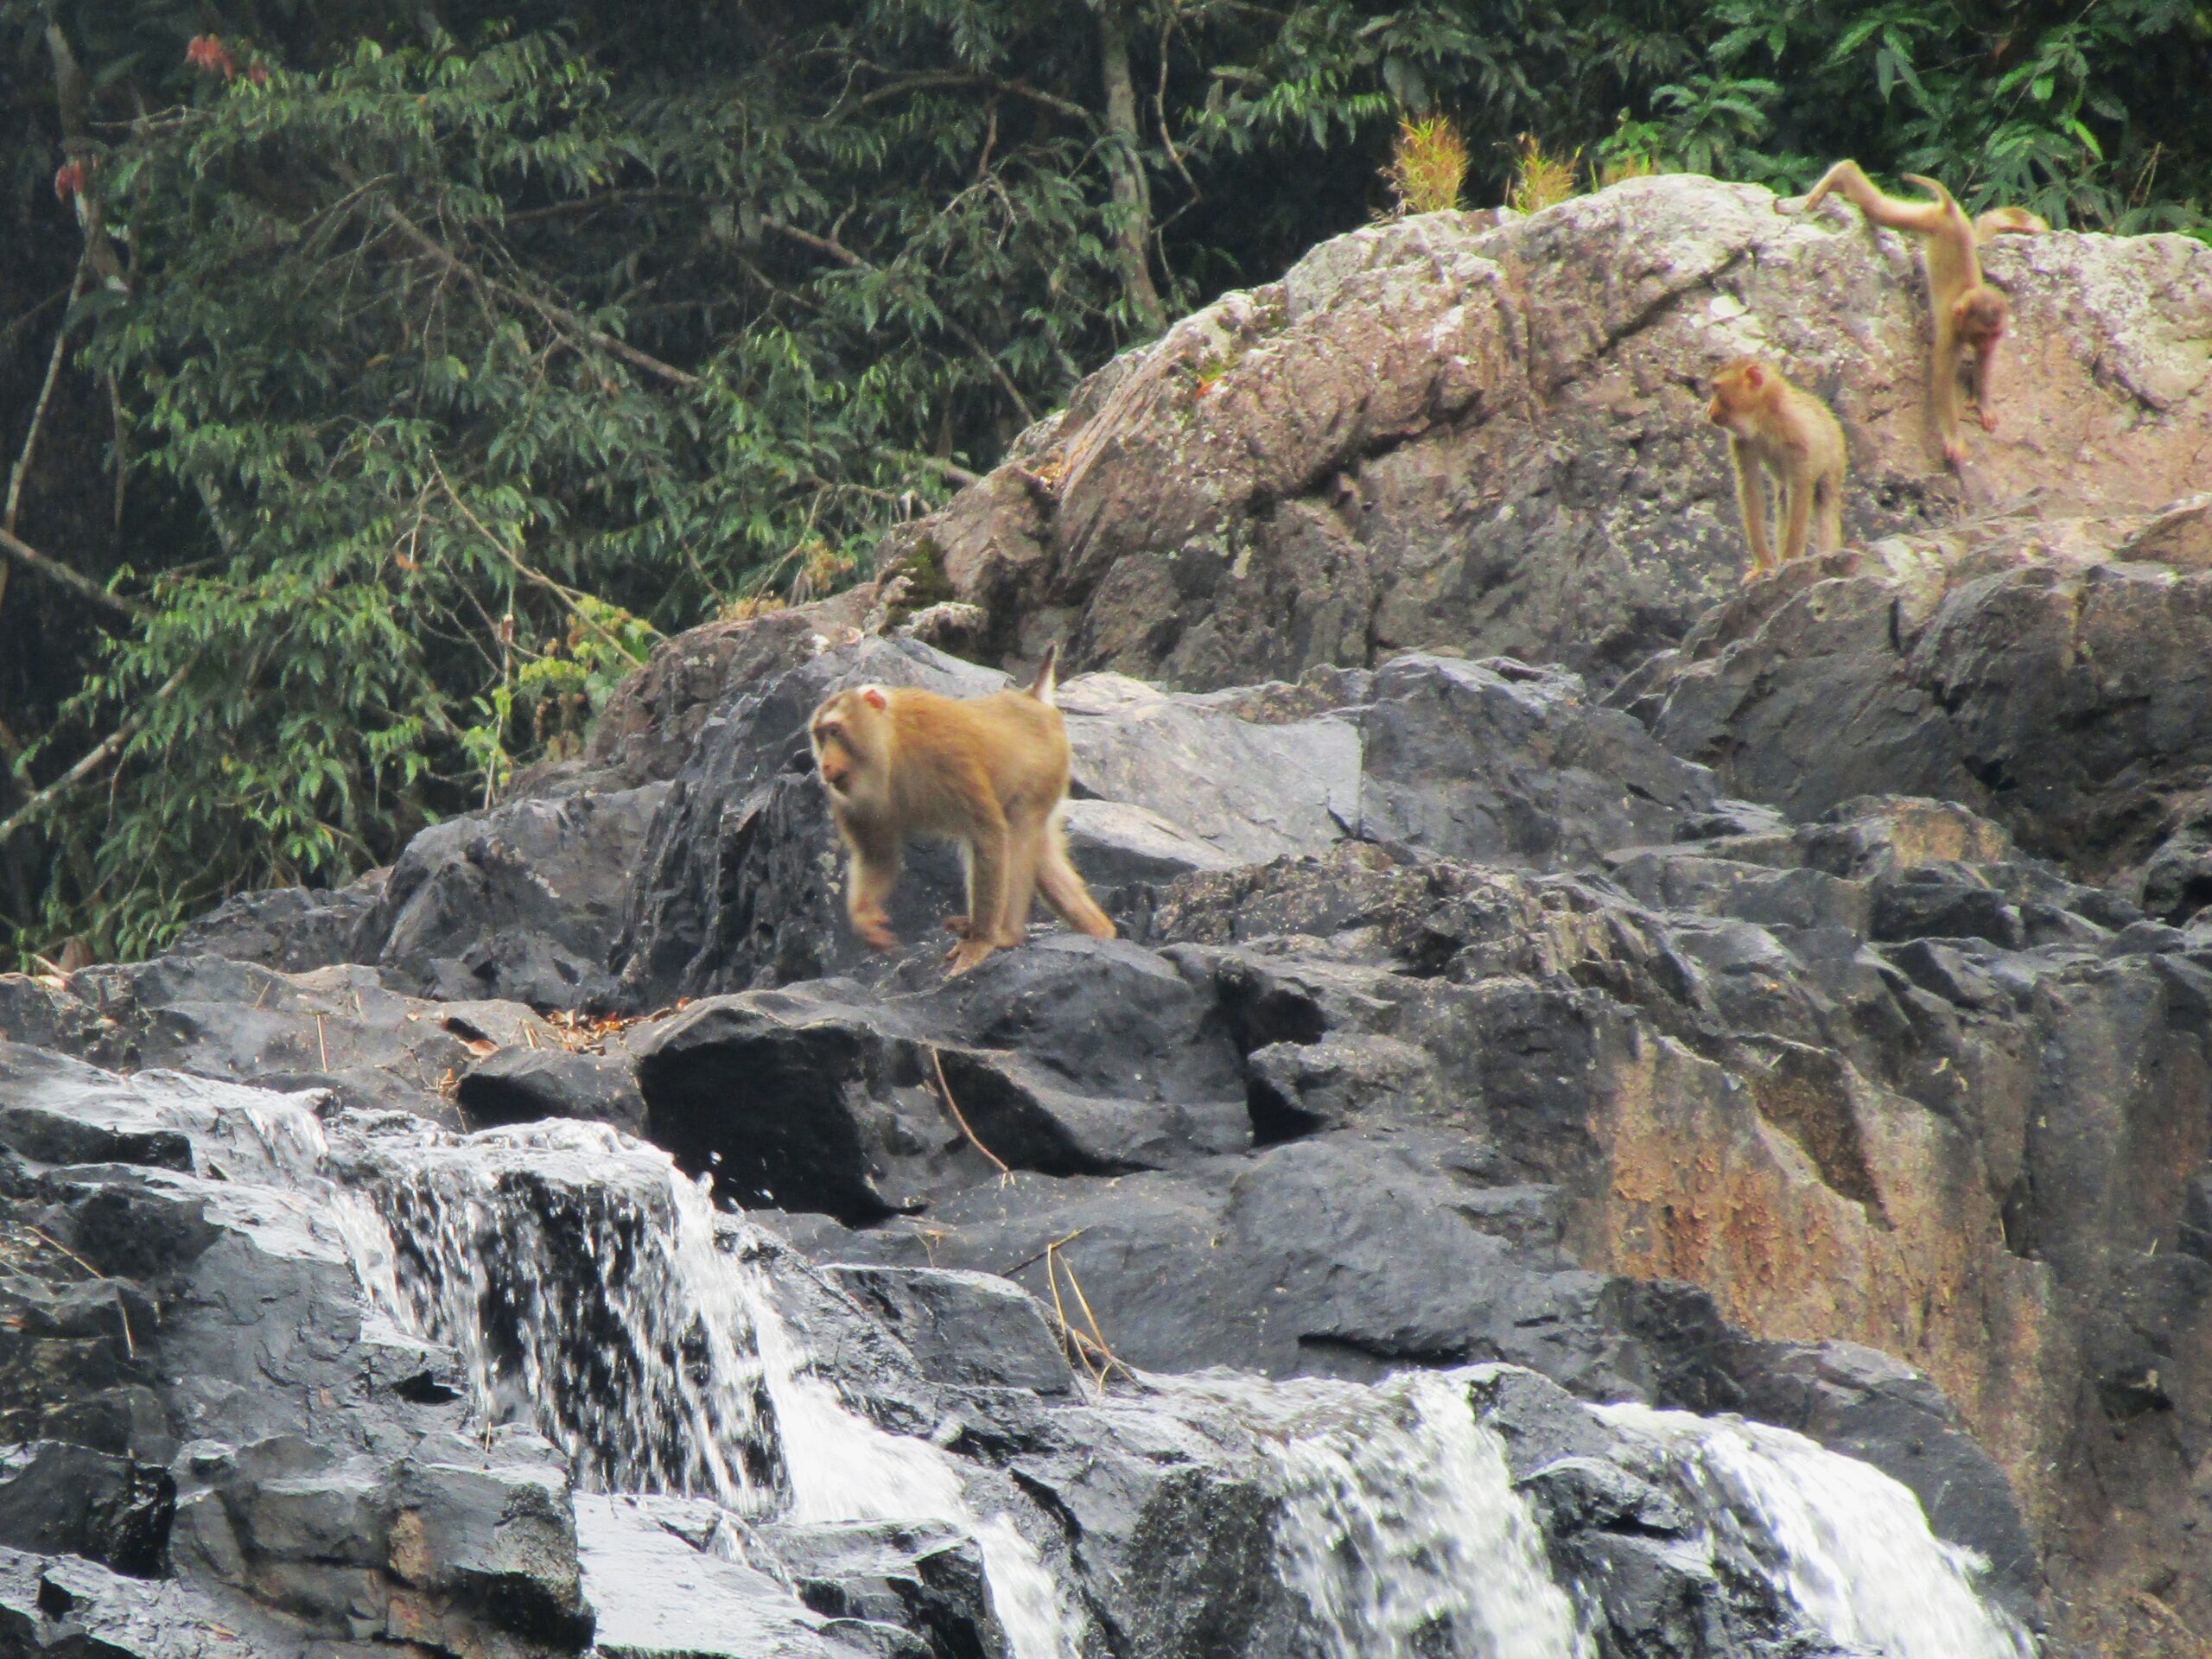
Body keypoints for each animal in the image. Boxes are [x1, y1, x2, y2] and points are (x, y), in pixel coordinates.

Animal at [809, 650, 1115, 982]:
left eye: (835, 732)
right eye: (821, 737)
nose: (825, 765)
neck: (891, 746)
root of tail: (1030, 698)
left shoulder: (945, 753)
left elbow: (988, 834)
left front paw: (982, 941)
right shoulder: (851, 802)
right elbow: (878, 857)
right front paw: (866, 918)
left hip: (1046, 769)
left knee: (1018, 832)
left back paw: (1006, 934)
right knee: (1039, 852)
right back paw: (1099, 931)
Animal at [1707, 358, 1849, 583]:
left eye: (1716, 388)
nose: (1709, 410)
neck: (1763, 417)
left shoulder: (1797, 433)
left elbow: (1800, 489)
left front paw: (1790, 559)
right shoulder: (1741, 441)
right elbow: (1751, 490)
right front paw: (1763, 566)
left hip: (1835, 459)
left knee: (1824, 501)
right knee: (1783, 500)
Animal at [1787, 163, 2017, 468]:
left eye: (1994, 335)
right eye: (1983, 333)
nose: (1990, 342)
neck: (1964, 303)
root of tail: (1949, 211)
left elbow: (1984, 363)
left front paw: (1984, 402)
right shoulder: (1950, 333)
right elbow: (1941, 380)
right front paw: (1953, 438)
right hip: (1929, 219)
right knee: (1881, 210)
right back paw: (1840, 174)